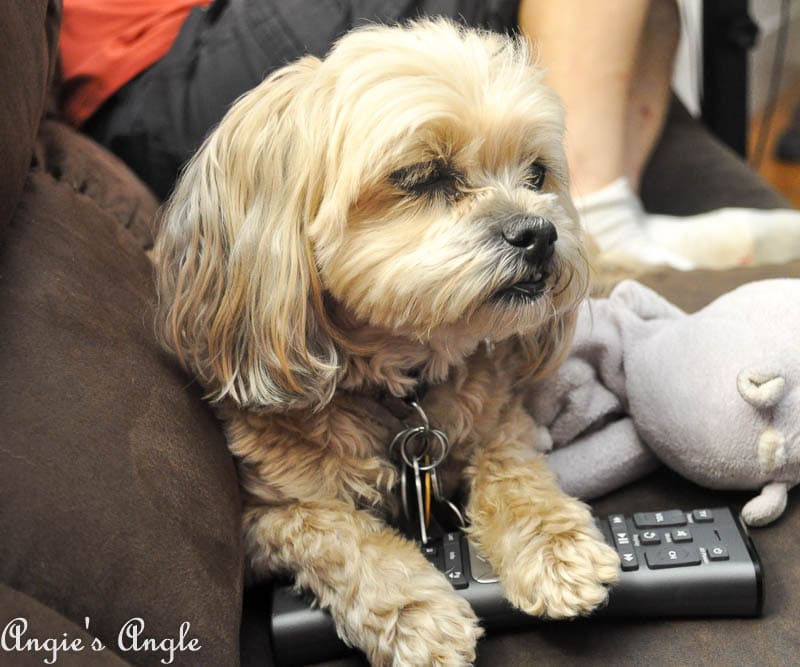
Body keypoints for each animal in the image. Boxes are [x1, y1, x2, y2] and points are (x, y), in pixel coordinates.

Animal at [155, 20, 620, 667]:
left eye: (536, 174)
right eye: (425, 177)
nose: (541, 232)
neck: (404, 390)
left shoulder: (505, 425)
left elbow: (513, 470)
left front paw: (557, 548)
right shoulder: (267, 515)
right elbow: (341, 535)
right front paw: (418, 615)